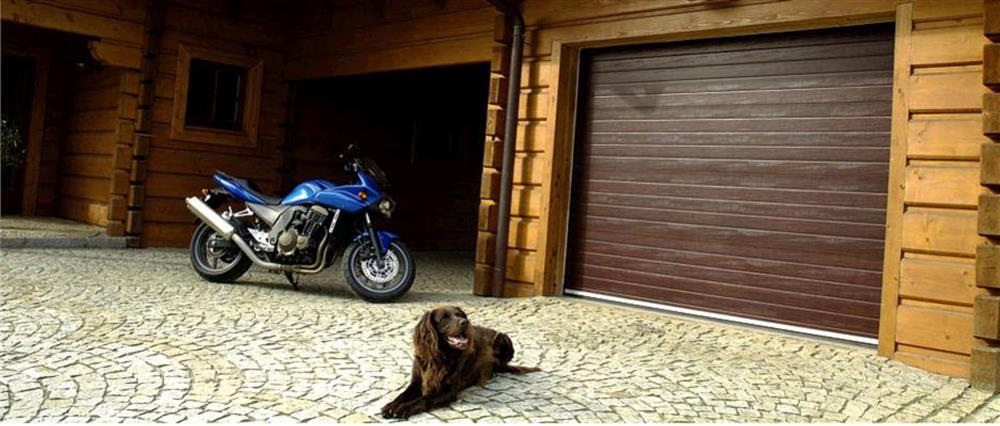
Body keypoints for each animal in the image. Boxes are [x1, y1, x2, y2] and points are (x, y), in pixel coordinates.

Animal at [380, 306, 539, 419]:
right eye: (444, 318)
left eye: (460, 315)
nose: (465, 322)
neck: (440, 356)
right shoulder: (417, 381)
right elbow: (402, 395)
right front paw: (391, 406)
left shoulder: (449, 391)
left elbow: (423, 399)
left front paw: (403, 408)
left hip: (503, 338)